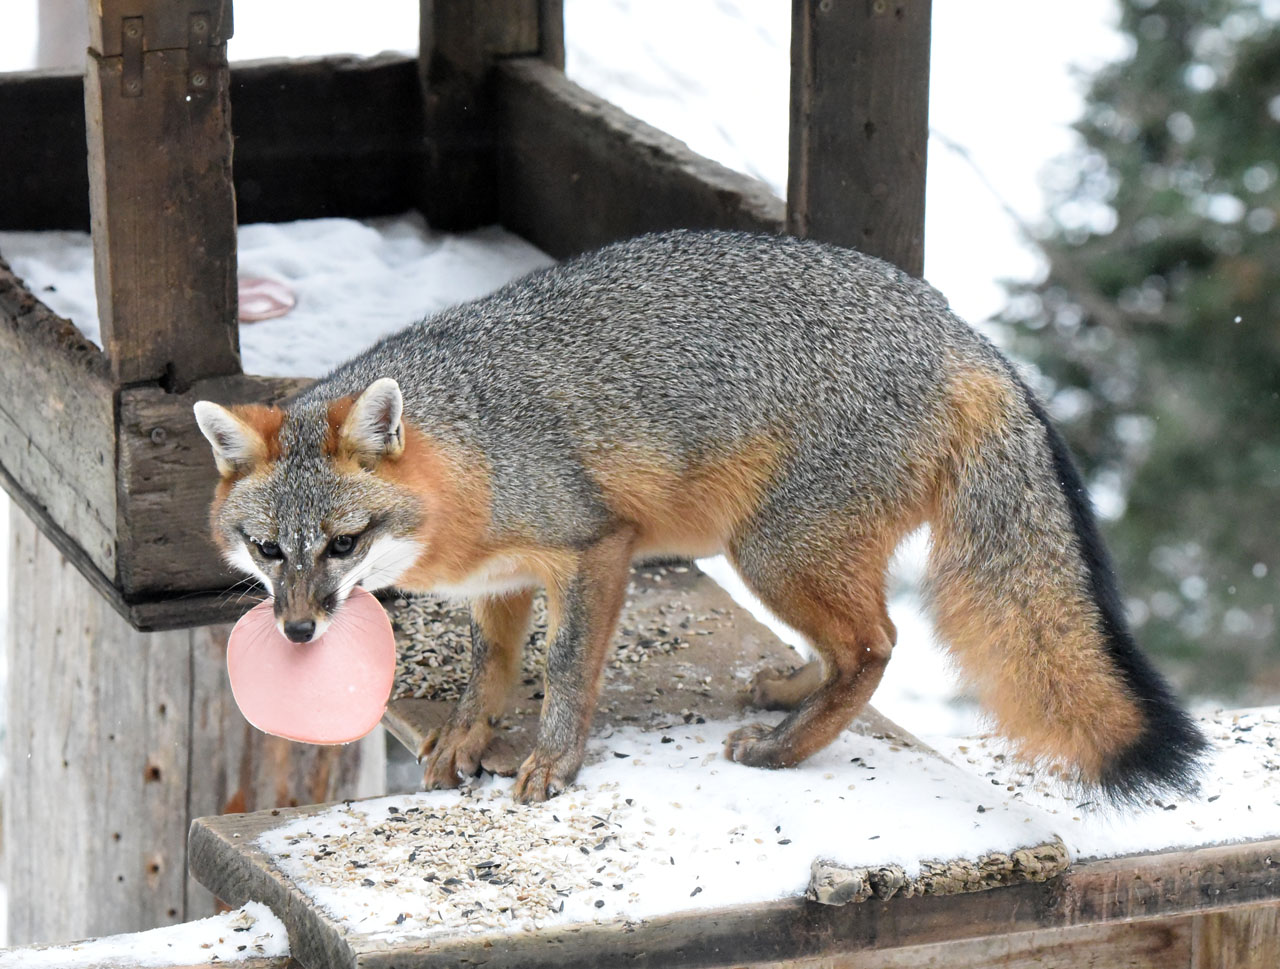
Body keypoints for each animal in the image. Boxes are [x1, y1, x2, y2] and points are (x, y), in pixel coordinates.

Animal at [194, 229, 1206, 805]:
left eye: (343, 543)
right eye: (269, 548)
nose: (295, 629)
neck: (472, 444)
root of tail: (964, 333)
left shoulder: (593, 547)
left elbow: (566, 669)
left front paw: (555, 762)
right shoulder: (504, 580)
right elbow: (490, 671)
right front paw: (465, 739)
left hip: (771, 550)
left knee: (876, 645)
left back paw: (788, 748)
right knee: (849, 644)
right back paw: (792, 691)